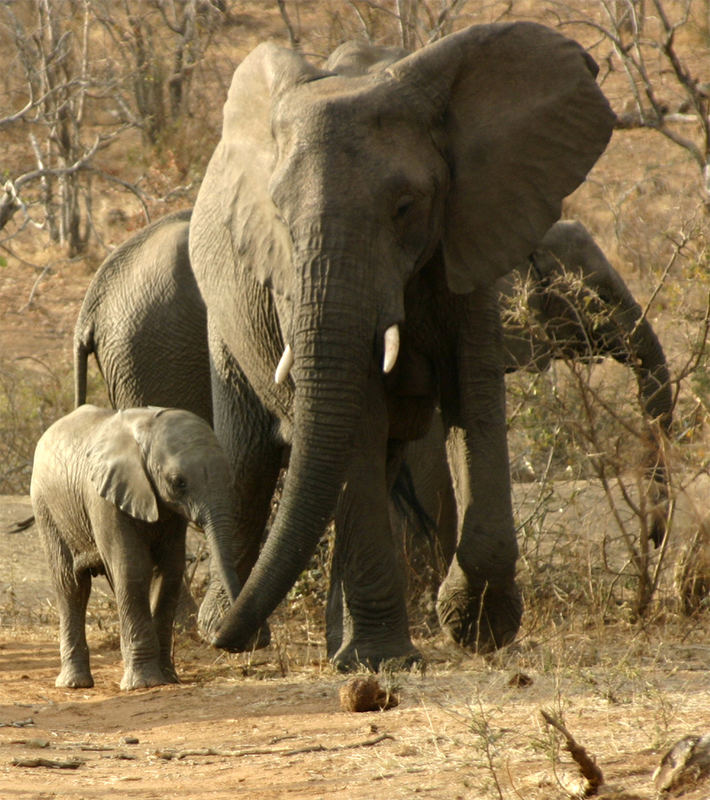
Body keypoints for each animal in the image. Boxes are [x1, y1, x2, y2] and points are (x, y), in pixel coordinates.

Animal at [32, 404, 243, 692]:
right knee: (71, 585)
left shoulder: (169, 513)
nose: (224, 641)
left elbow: (169, 572)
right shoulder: (103, 499)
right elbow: (132, 570)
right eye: (179, 482)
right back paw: (74, 684)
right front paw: (144, 684)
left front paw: (168, 678)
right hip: (46, 508)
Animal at [189, 23, 616, 668]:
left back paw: (312, 642)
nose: (225, 641)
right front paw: (387, 661)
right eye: (279, 216)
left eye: (405, 208)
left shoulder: (467, 238)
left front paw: (475, 627)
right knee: (247, 462)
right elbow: (357, 419)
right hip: (223, 326)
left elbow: (475, 397)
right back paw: (234, 626)